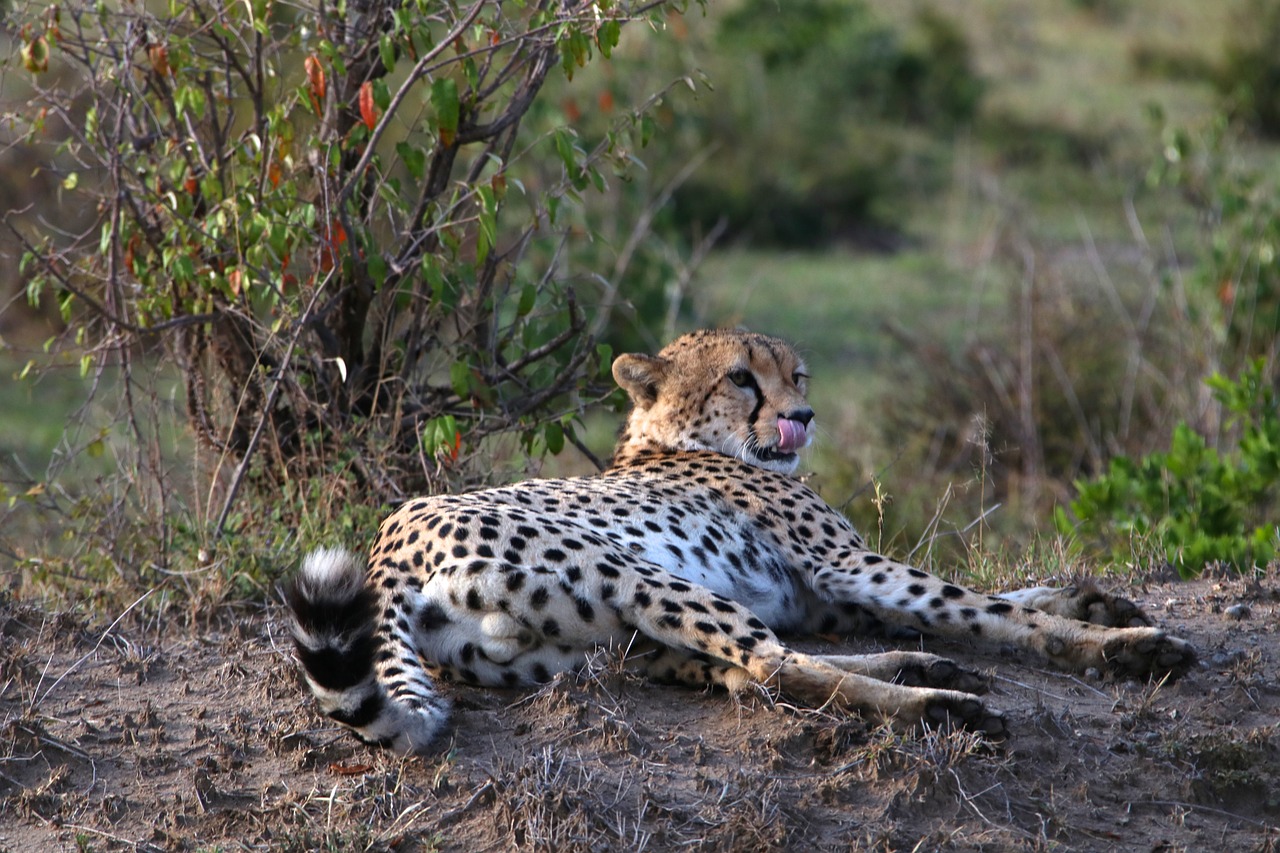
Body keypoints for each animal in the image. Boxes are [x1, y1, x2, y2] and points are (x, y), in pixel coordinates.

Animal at [285, 326, 1192, 753]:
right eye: (742, 378)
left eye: (798, 375)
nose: (804, 415)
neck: (672, 439)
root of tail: (388, 538)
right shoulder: (844, 566)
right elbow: (992, 608)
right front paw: (1120, 645)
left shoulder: (828, 595)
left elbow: (1001, 593)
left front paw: (1098, 599)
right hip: (640, 575)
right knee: (768, 665)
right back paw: (940, 701)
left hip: (592, 647)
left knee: (746, 674)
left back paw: (920, 669)